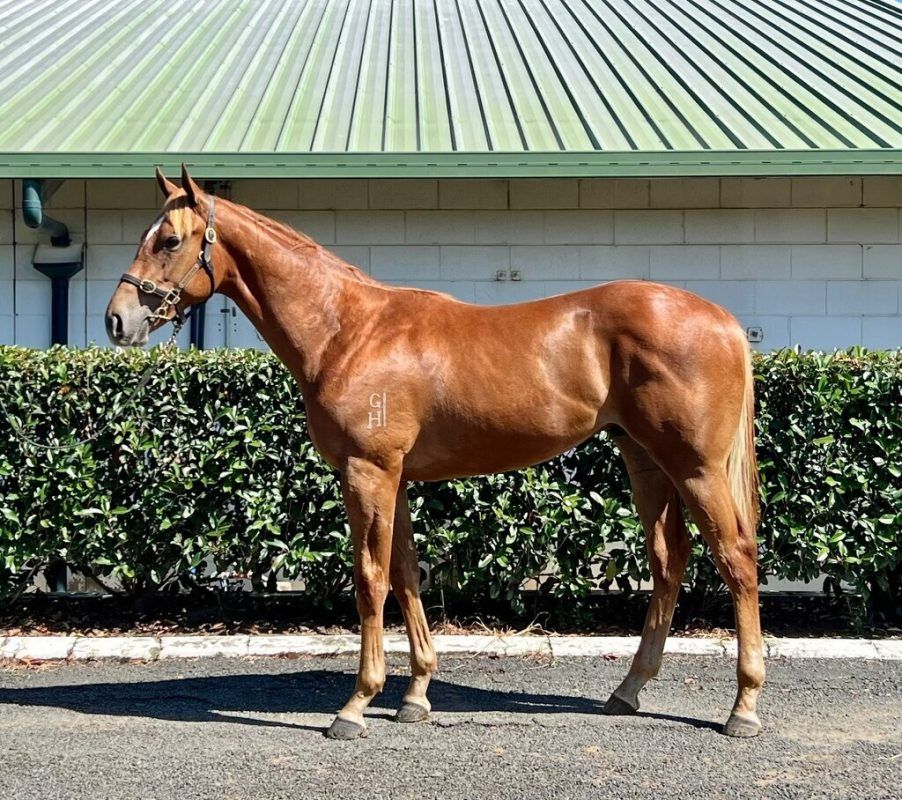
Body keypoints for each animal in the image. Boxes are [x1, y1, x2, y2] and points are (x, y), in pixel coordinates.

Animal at [107, 166, 768, 740]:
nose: (118, 321)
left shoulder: (367, 473)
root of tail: (725, 321)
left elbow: (370, 580)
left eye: (169, 240)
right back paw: (628, 691)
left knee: (736, 557)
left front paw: (355, 705)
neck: (348, 330)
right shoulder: (394, 478)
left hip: (696, 467)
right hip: (646, 461)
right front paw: (416, 696)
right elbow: (405, 574)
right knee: (669, 560)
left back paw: (743, 706)